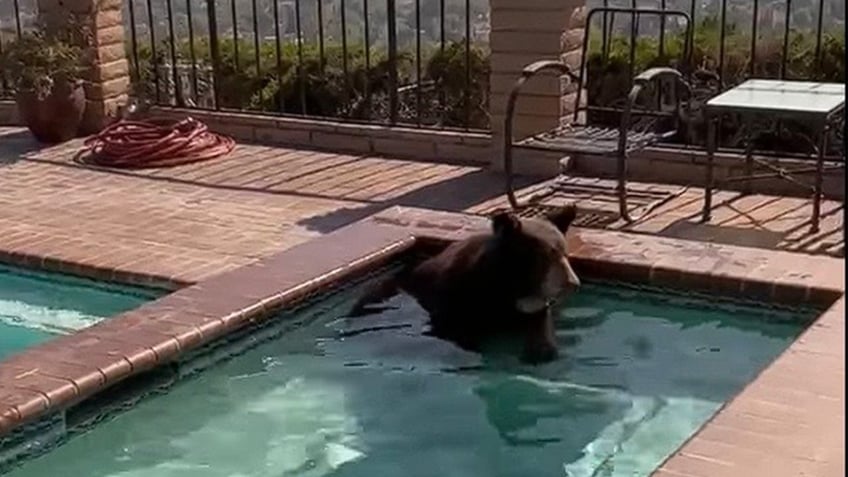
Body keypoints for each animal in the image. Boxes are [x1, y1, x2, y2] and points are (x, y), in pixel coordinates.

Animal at [348, 205, 580, 364]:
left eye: (564, 253)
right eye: (545, 256)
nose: (573, 283)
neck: (510, 286)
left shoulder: (535, 303)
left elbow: (541, 322)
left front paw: (541, 350)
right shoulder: (459, 296)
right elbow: (455, 328)